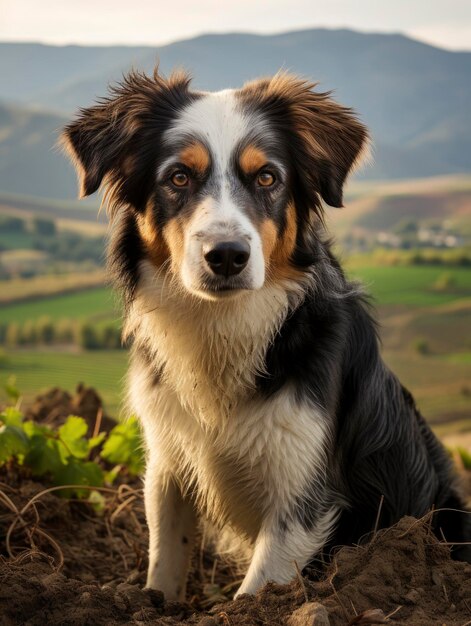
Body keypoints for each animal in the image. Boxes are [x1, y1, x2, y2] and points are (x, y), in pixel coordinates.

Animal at [61, 68, 468, 600]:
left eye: (267, 178)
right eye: (178, 177)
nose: (227, 255)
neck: (224, 326)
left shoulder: (303, 495)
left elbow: (255, 591)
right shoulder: (167, 460)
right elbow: (165, 554)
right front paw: (156, 603)